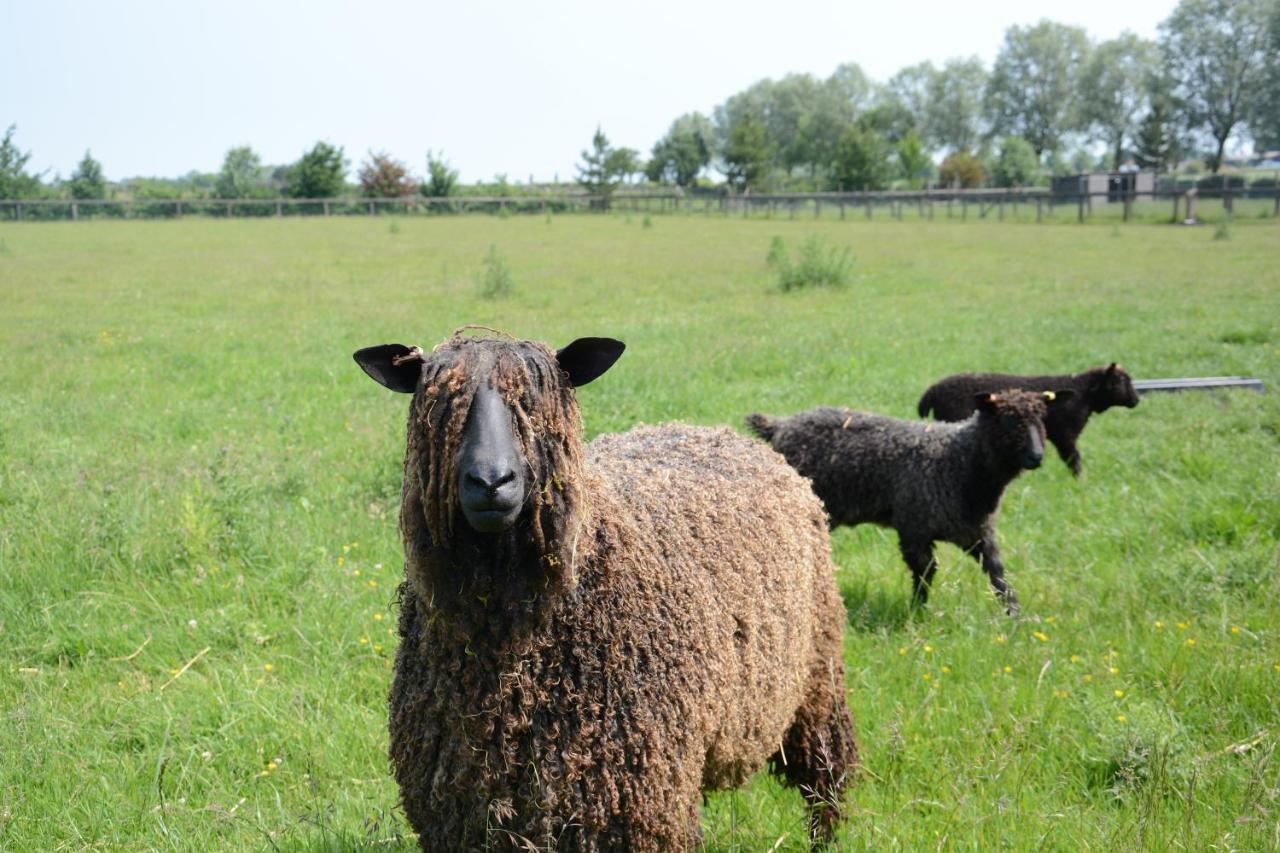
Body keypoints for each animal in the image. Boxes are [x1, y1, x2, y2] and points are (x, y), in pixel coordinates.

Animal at [353, 333, 860, 850]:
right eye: (437, 403)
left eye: (537, 402)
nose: (491, 481)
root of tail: (715, 432)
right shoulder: (459, 813)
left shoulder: (635, 805)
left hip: (817, 675)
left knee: (827, 773)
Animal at [747, 389, 1075, 614]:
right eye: (1008, 420)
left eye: (1042, 418)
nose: (1037, 457)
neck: (959, 460)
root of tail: (780, 425)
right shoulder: (915, 529)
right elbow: (925, 574)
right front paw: (917, 613)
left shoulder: (978, 532)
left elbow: (998, 575)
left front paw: (1016, 616)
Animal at [916, 361, 1146, 473]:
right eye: (1121, 381)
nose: (1136, 400)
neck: (1083, 394)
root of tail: (932, 392)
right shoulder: (1065, 435)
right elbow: (1074, 460)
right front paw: (1080, 481)